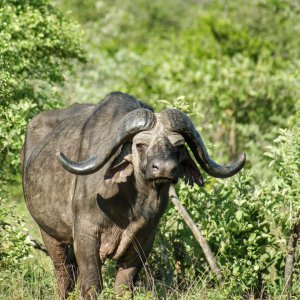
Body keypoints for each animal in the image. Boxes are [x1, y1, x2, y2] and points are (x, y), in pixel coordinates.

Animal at [21, 92, 246, 298]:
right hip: (49, 232)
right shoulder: (86, 235)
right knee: (64, 274)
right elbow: (92, 285)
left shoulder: (144, 240)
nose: (164, 168)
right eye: (140, 144)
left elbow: (124, 286)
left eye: (179, 145)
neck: (129, 205)